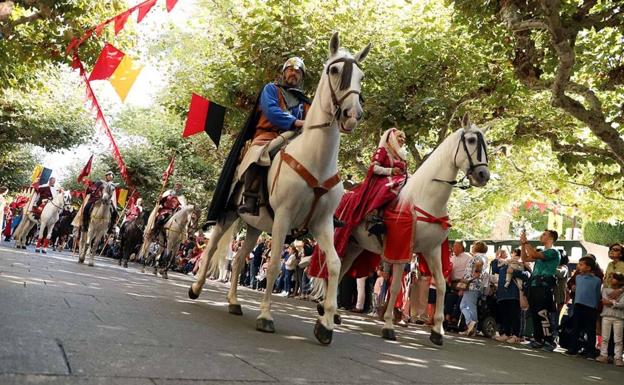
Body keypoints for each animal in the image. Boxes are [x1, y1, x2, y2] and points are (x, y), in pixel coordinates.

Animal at [188, 33, 368, 344]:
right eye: (334, 70)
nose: (351, 115)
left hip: (254, 226)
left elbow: (334, 265)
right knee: (211, 248)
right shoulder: (283, 217)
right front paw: (265, 316)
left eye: (361, 75)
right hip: (228, 214)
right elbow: (272, 265)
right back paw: (197, 288)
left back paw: (234, 302)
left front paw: (326, 323)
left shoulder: (322, 224)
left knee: (239, 261)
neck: (316, 161)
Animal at [330, 115, 490, 344]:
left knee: (343, 270)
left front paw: (437, 331)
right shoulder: (401, 248)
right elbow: (396, 286)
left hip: (355, 246)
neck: (425, 198)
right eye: (470, 140)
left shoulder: (431, 251)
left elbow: (441, 285)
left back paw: (333, 312)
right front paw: (388, 326)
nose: (483, 175)